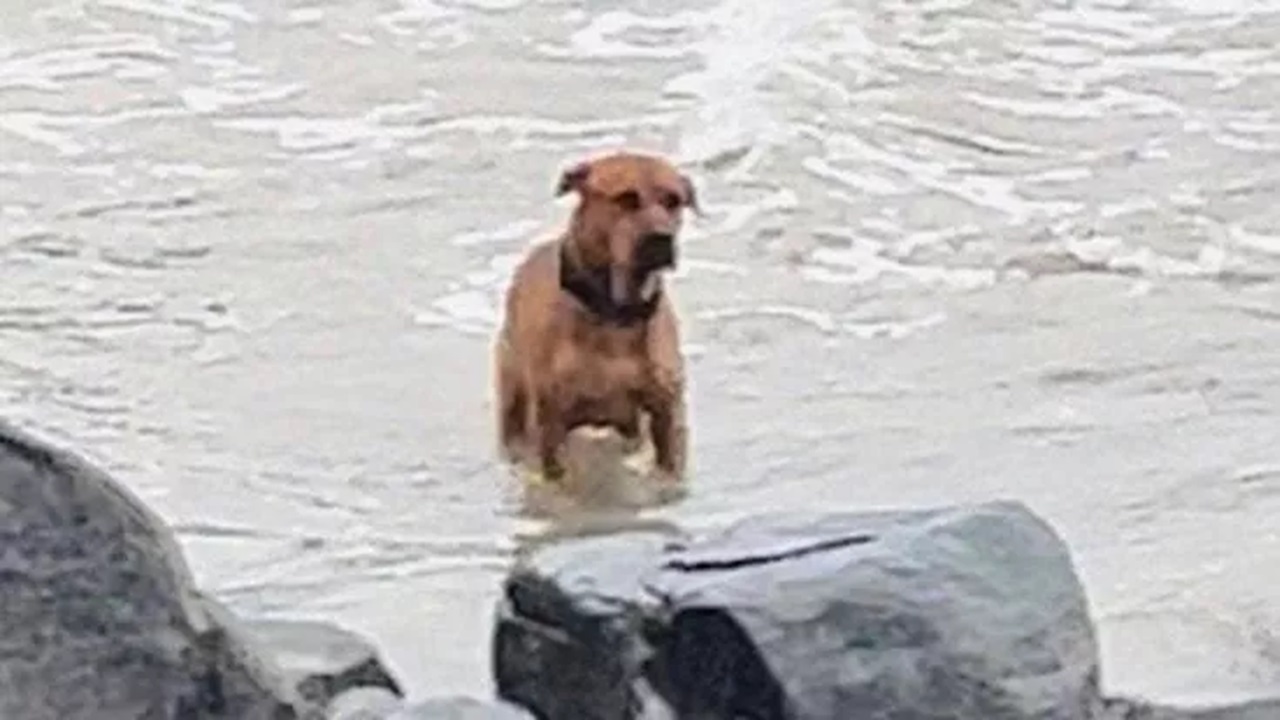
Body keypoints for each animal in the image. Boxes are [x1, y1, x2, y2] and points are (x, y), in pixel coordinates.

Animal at [491, 151, 701, 486]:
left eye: (673, 200)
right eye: (626, 198)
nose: (661, 239)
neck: (614, 314)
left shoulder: (666, 412)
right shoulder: (550, 422)